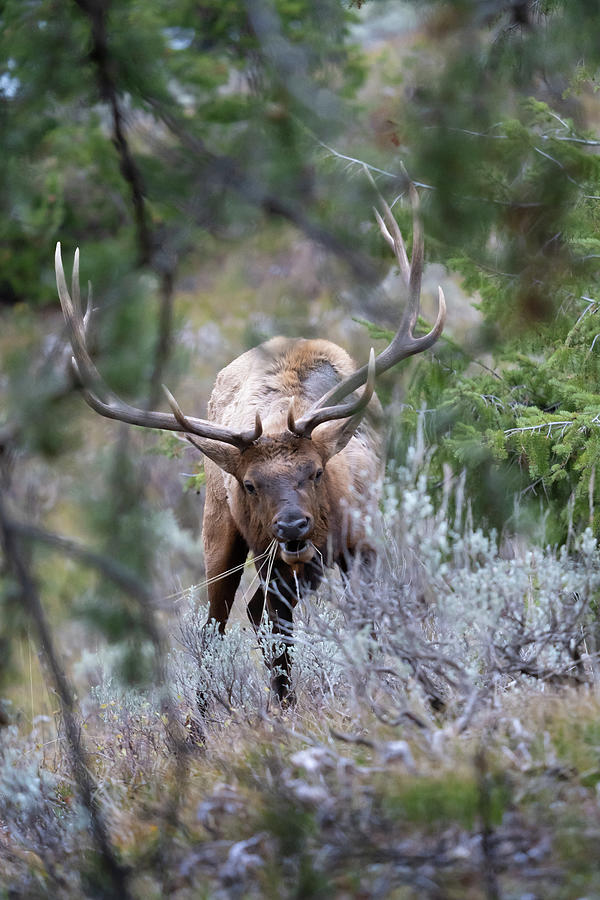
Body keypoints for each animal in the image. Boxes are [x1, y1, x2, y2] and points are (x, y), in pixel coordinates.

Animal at [54, 185, 442, 704]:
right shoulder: (271, 553)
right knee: (218, 625)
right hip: (224, 533)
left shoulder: (362, 542)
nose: (293, 524)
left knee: (255, 612)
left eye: (315, 471)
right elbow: (273, 628)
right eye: (251, 484)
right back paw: (213, 715)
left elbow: (376, 623)